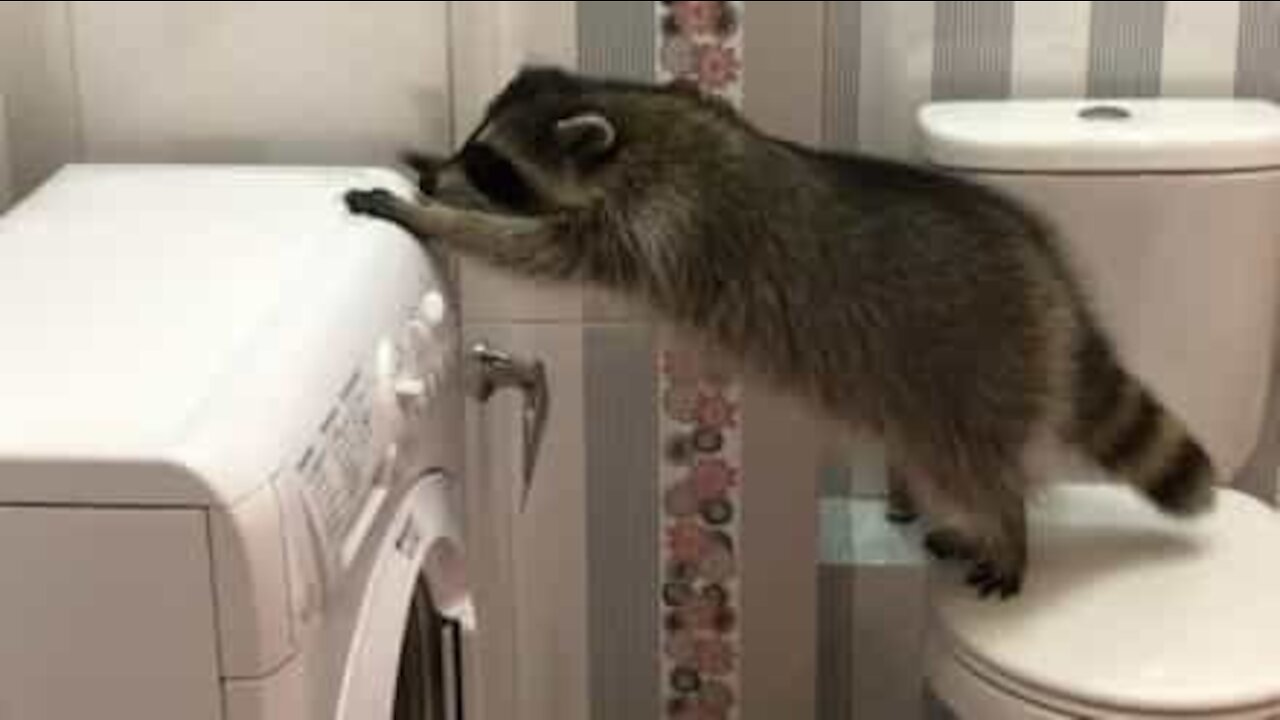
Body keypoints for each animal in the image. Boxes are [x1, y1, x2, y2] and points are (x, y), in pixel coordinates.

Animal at [345, 65, 1213, 594]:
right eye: (473, 145)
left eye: (494, 166)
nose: (440, 176)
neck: (635, 119)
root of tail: (1051, 281)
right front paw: (424, 175)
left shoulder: (652, 225)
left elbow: (533, 250)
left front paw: (434, 215)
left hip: (967, 369)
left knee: (971, 464)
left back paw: (1005, 525)